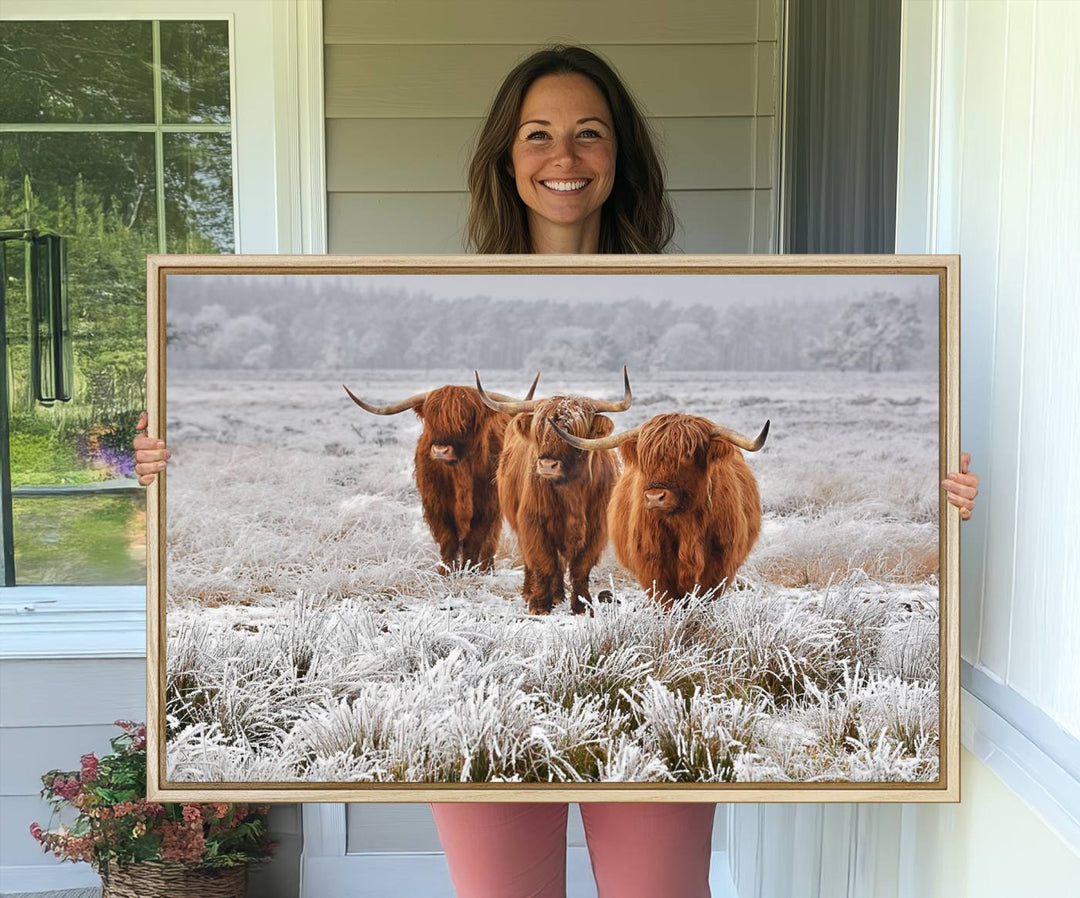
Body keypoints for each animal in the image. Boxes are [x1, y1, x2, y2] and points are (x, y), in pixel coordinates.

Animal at [343, 373, 537, 570]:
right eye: (431, 419)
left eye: (466, 418)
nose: (440, 450)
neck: (460, 473)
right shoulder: (437, 506)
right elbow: (448, 541)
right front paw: (446, 571)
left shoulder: (487, 507)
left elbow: (474, 542)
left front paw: (469, 570)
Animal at [473, 369, 630, 613]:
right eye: (539, 431)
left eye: (572, 431)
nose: (547, 465)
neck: (572, 491)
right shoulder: (534, 523)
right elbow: (543, 562)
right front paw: (539, 605)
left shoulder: (596, 529)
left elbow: (580, 567)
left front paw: (582, 605)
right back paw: (533, 592)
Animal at [557, 412, 768, 609]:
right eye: (645, 457)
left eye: (687, 455)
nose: (654, 497)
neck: (686, 525)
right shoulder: (652, 565)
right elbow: (665, 601)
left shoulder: (719, 565)